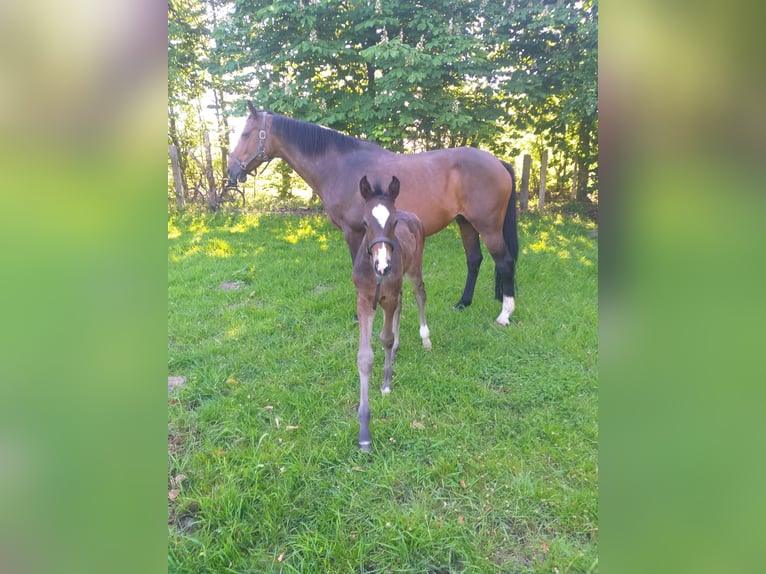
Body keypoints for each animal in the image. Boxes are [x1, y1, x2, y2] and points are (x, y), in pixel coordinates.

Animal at [354, 176, 432, 454]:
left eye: (394, 222)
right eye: (364, 223)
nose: (383, 266)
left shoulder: (386, 298)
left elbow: (385, 338)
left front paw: (387, 382)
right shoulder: (365, 301)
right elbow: (364, 357)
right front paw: (364, 432)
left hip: (414, 268)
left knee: (419, 294)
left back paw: (425, 337)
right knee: (401, 304)